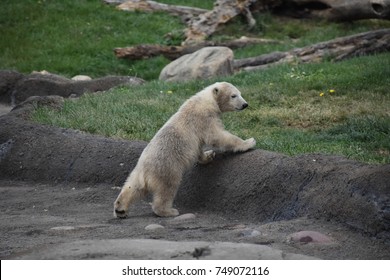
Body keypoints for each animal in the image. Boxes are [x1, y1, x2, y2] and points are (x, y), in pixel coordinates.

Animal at [113, 82, 256, 218]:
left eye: (240, 93)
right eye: (233, 95)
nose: (245, 104)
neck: (206, 100)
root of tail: (145, 170)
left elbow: (200, 147)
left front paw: (208, 155)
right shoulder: (204, 118)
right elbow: (216, 136)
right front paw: (249, 142)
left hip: (138, 173)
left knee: (132, 187)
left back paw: (120, 209)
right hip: (167, 168)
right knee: (167, 188)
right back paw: (168, 211)